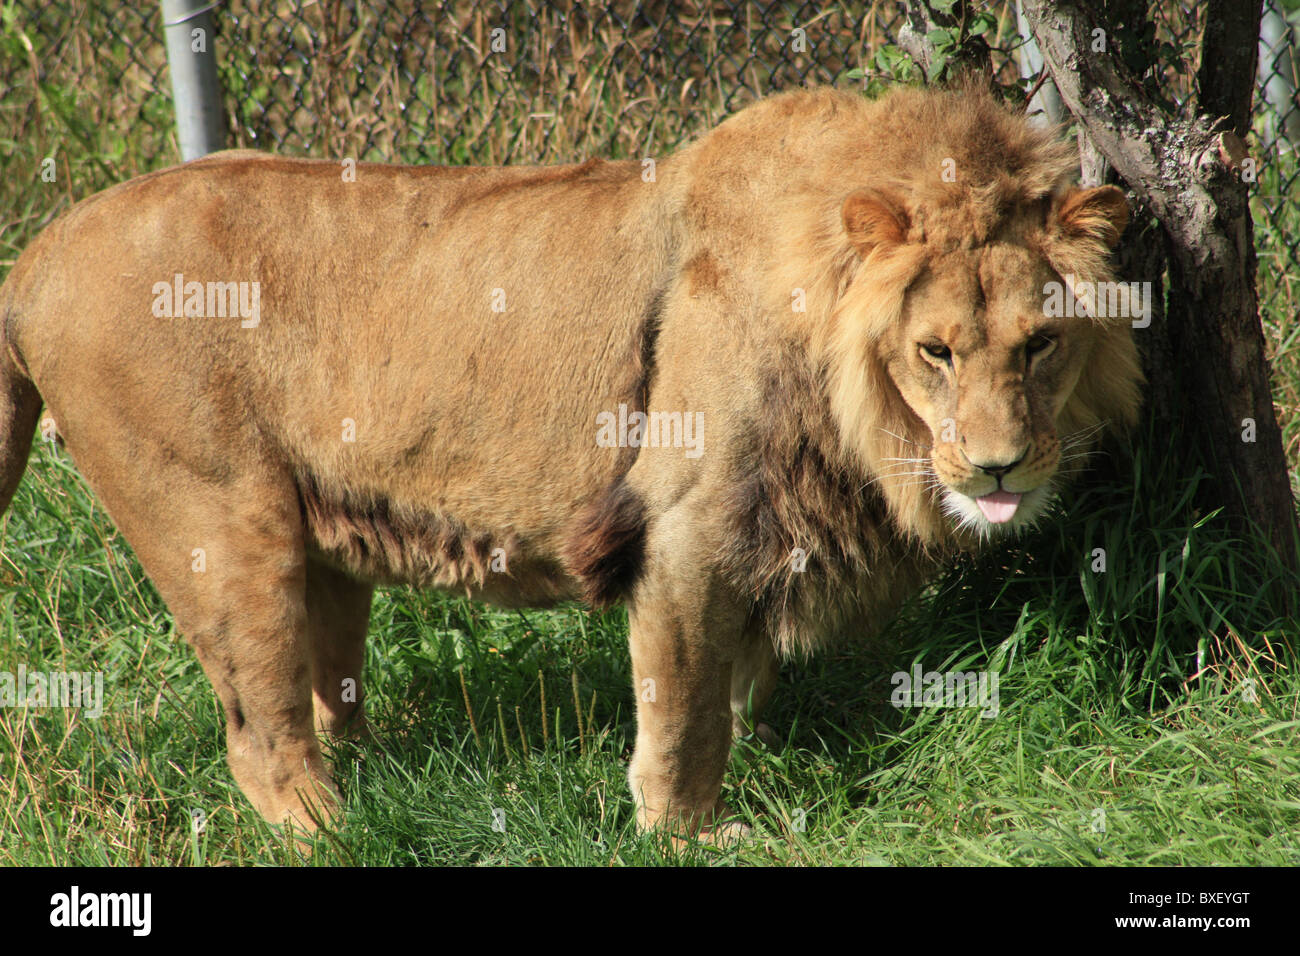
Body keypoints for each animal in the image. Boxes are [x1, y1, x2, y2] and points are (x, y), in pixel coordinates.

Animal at [0, 81, 1141, 843]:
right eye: (934, 351)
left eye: (1041, 343)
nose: (998, 469)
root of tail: (34, 255)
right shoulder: (682, 523)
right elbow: (682, 702)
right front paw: (688, 831)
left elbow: (735, 678)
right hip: (219, 520)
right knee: (258, 731)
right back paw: (339, 830)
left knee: (326, 689)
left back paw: (374, 778)